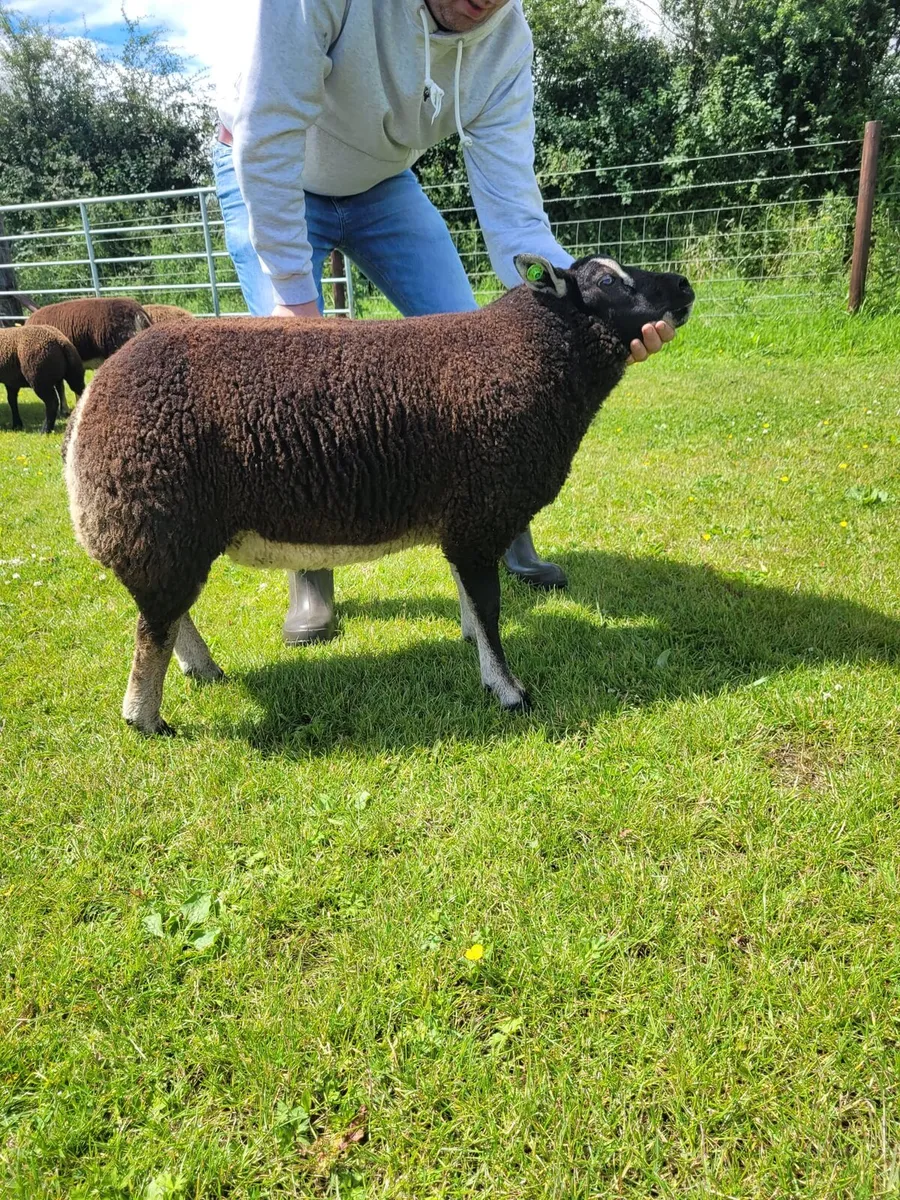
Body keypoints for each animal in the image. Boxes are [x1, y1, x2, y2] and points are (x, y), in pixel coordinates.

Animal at [64, 254, 693, 735]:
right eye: (606, 282)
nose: (685, 287)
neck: (534, 356)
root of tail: (92, 401)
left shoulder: (462, 522)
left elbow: (472, 600)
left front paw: (473, 647)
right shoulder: (478, 516)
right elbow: (489, 607)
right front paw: (507, 689)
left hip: (166, 533)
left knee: (170, 617)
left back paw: (204, 671)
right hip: (156, 522)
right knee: (154, 628)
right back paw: (146, 719)